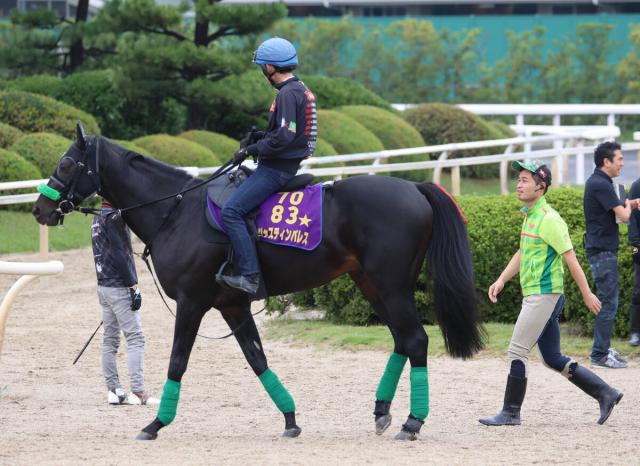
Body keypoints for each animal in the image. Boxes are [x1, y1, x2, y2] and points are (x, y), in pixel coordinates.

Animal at [32, 124, 485, 441]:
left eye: (67, 164)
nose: (40, 208)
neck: (176, 210)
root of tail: (416, 187)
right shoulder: (232, 306)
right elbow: (257, 359)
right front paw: (290, 418)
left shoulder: (192, 303)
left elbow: (178, 361)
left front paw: (156, 422)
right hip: (372, 284)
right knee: (402, 341)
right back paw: (382, 410)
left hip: (390, 285)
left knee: (416, 341)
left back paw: (413, 421)